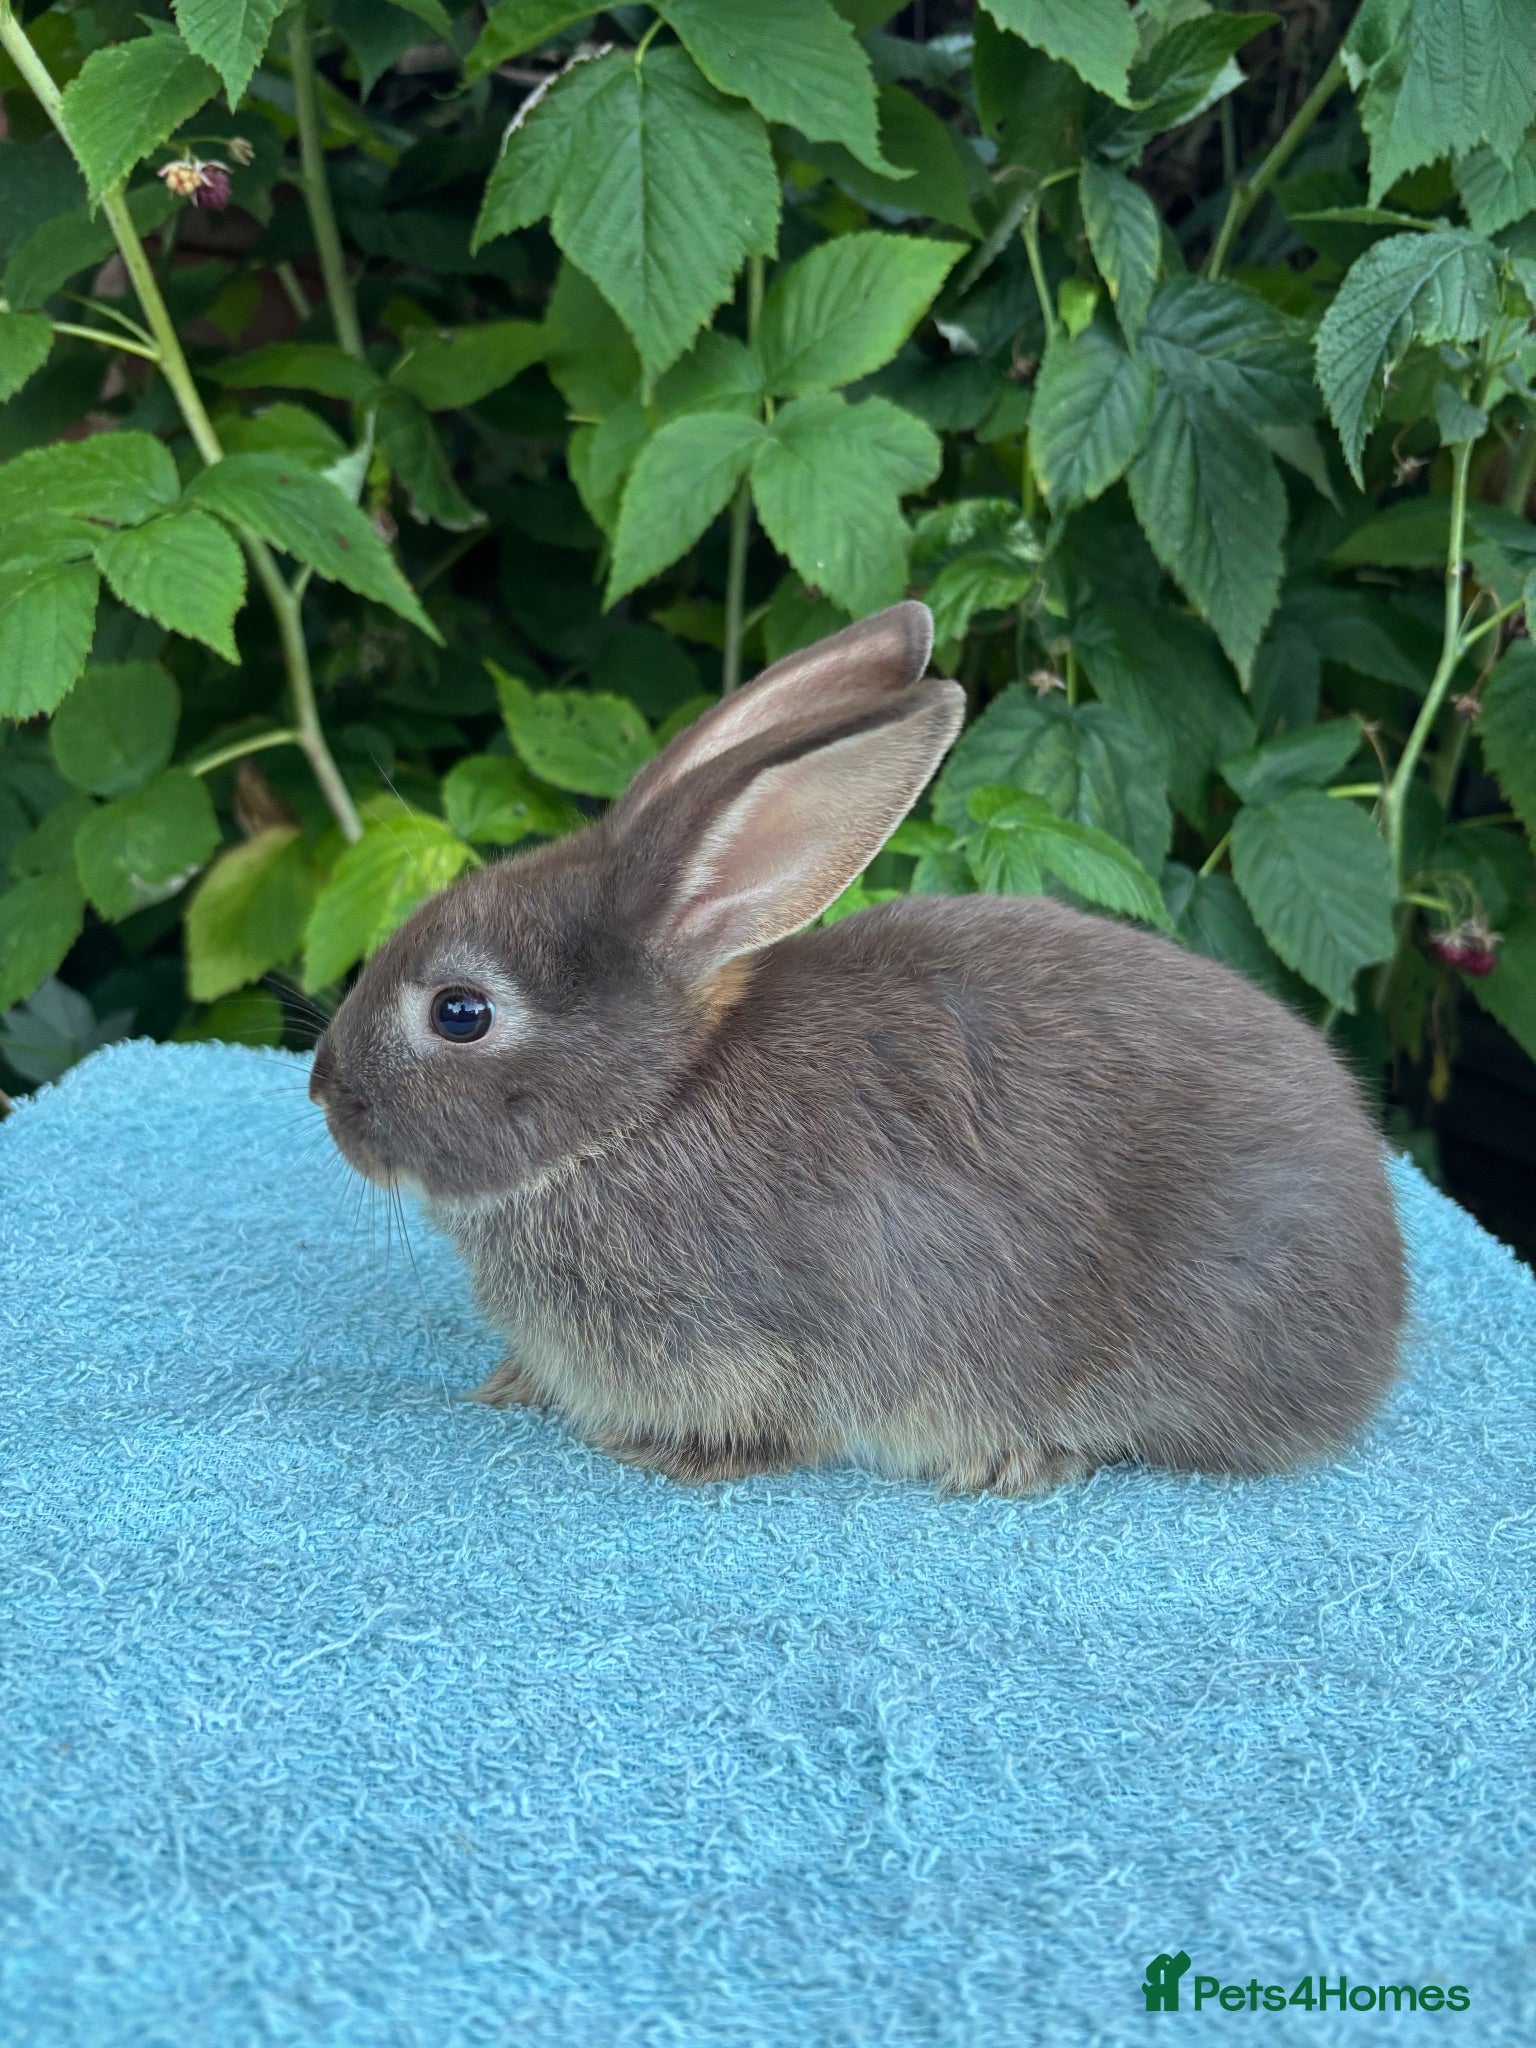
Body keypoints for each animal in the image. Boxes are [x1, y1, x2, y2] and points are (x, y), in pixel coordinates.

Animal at [309, 601, 1406, 1495]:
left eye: (460, 1013)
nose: (325, 1092)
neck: (644, 1109)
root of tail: (1384, 1289)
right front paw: (512, 1384)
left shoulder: (769, 1341)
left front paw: (659, 1452)